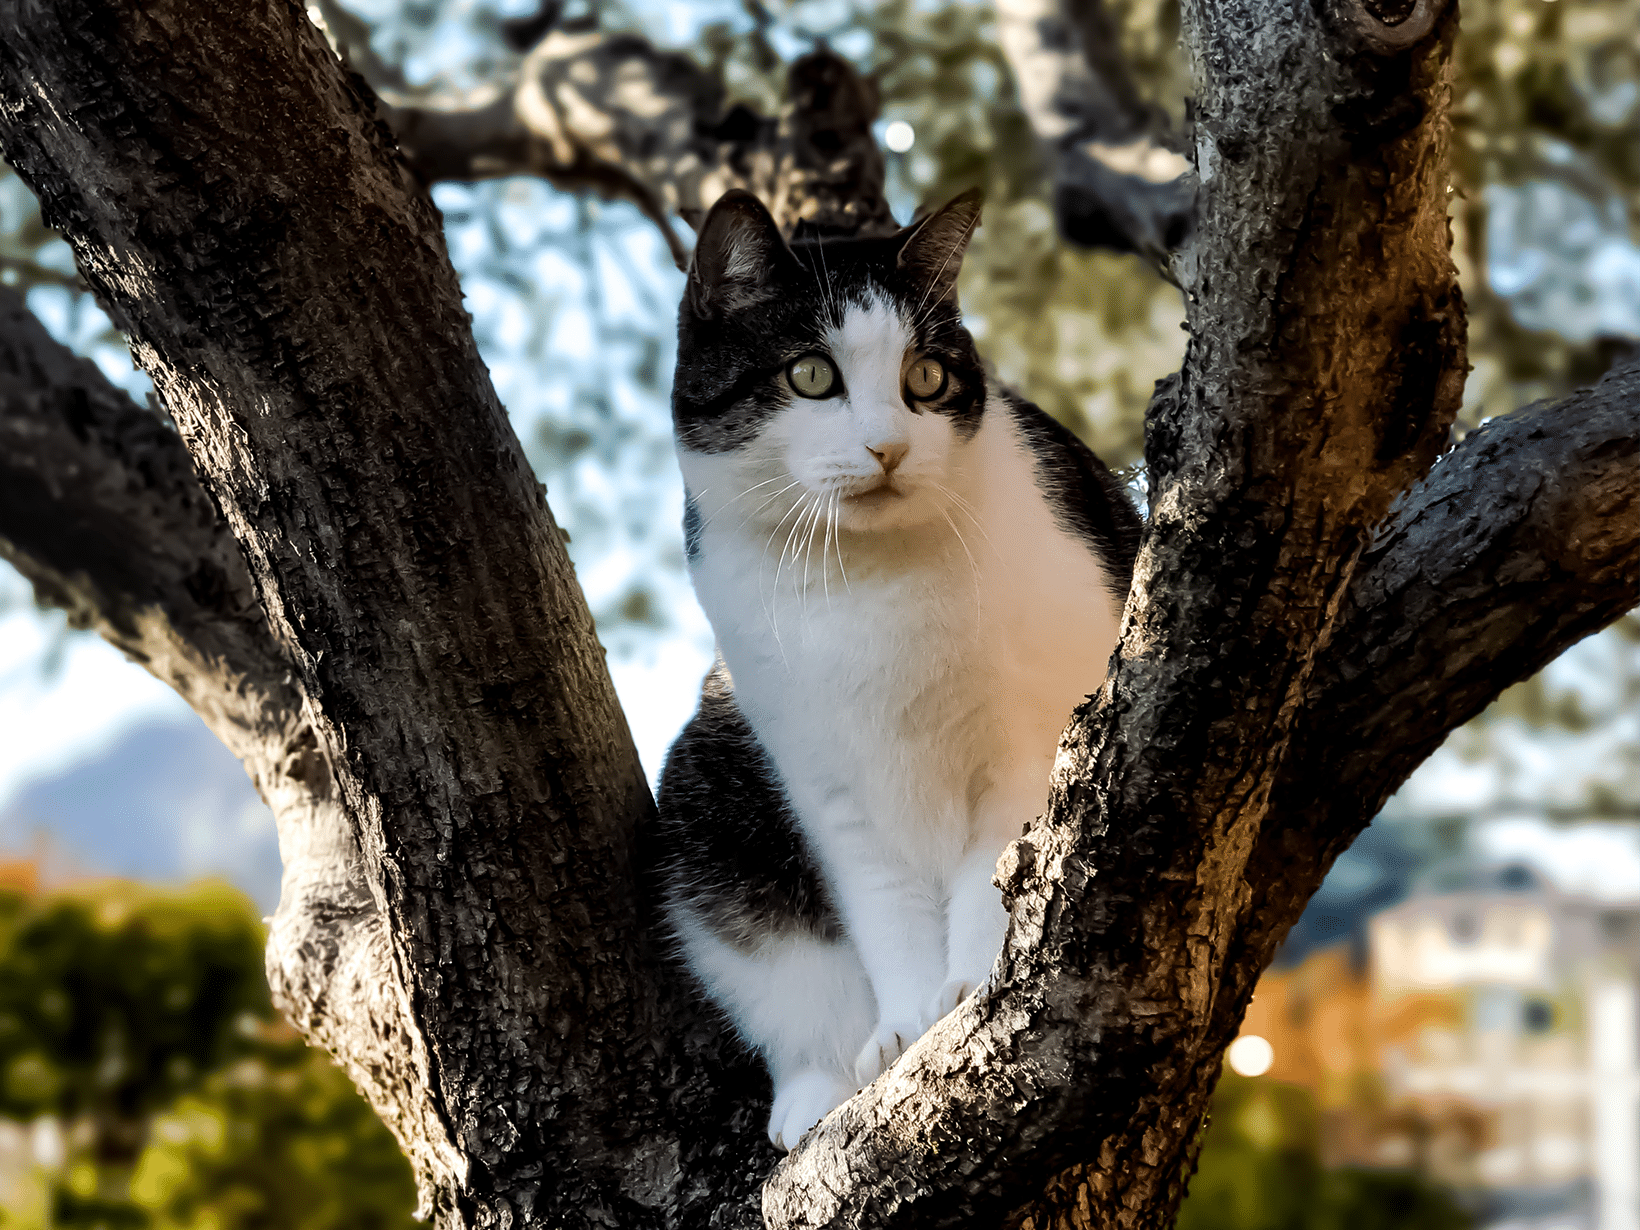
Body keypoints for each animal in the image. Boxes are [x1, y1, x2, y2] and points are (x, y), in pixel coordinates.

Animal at [652, 190, 1141, 1154]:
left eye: (927, 379)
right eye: (811, 376)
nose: (887, 447)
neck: (867, 583)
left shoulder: (1037, 733)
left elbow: (999, 868)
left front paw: (971, 988)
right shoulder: (824, 784)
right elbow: (880, 908)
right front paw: (913, 1022)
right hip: (702, 786)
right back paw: (818, 1089)